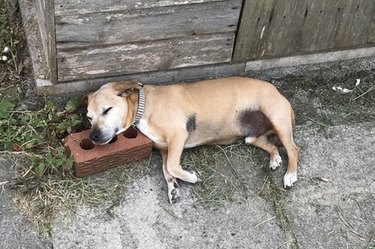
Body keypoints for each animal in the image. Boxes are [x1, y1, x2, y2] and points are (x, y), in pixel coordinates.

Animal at [87, 77, 300, 203]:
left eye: (107, 110)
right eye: (89, 118)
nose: (93, 136)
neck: (143, 107)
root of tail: (278, 91)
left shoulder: (177, 136)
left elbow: (172, 167)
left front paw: (191, 177)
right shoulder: (165, 149)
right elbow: (166, 170)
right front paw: (173, 188)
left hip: (278, 119)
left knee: (293, 148)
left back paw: (290, 175)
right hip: (251, 137)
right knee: (272, 145)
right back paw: (274, 158)